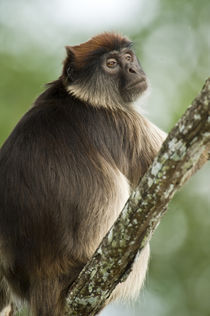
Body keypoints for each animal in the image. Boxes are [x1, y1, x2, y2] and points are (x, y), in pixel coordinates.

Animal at [0, 32, 176, 316]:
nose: (133, 69)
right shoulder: (118, 120)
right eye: (111, 64)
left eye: (128, 58)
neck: (77, 95)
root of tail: (42, 280)